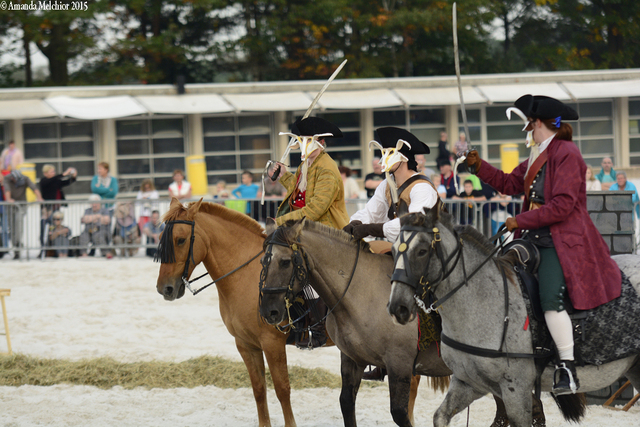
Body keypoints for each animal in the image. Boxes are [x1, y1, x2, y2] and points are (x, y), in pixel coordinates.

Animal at [258, 219, 450, 426]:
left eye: (285, 262)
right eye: (262, 262)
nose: (268, 311)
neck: (362, 290)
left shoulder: (400, 363)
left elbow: (399, 412)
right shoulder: (352, 359)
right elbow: (346, 403)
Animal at [384, 210, 640, 427]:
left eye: (422, 251)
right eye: (394, 250)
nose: (398, 307)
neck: (482, 303)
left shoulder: (516, 390)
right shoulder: (469, 383)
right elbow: (440, 416)